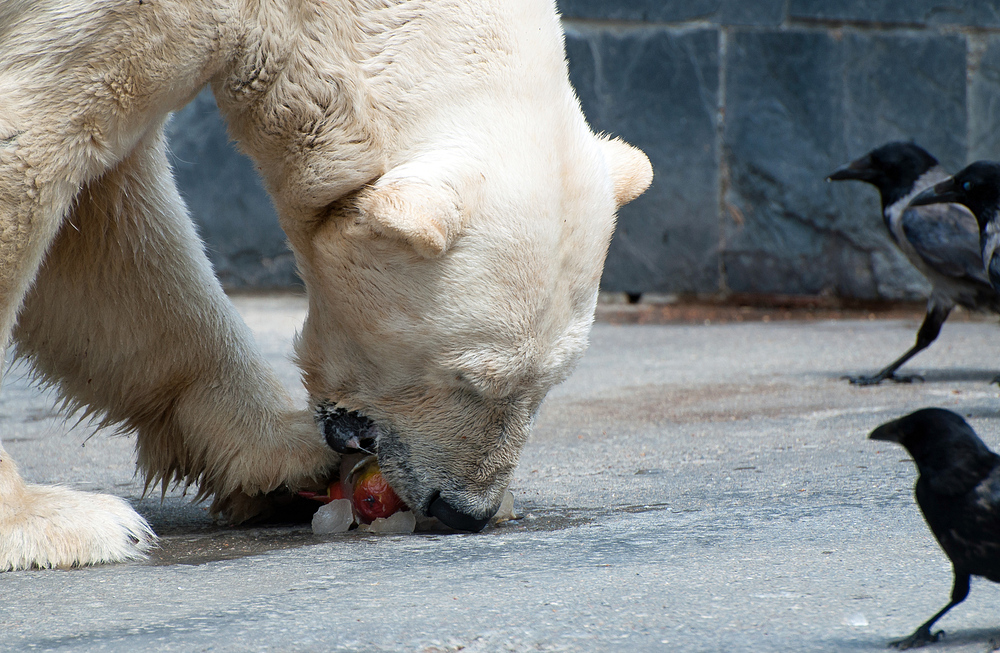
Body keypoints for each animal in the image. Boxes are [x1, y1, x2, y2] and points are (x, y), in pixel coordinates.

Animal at [0, 0, 648, 572]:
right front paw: (54, 521)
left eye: (548, 385)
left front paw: (288, 458)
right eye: (469, 380)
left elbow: (112, 245)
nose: (465, 510)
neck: (309, 14)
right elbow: (32, 152)